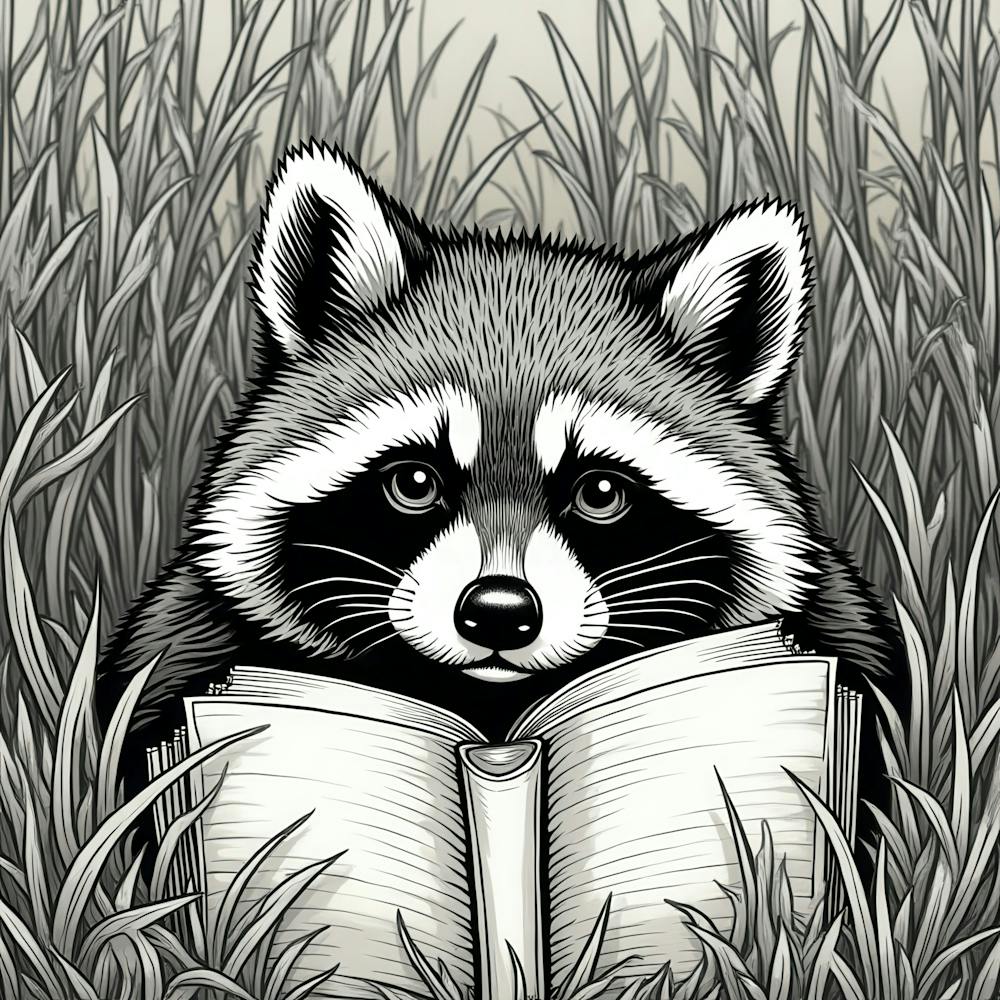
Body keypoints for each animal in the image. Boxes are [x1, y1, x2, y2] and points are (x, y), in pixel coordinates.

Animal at [96, 140, 905, 861]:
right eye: (415, 482)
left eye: (600, 492)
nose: (498, 611)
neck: (492, 706)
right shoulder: (185, 657)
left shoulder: (838, 652)